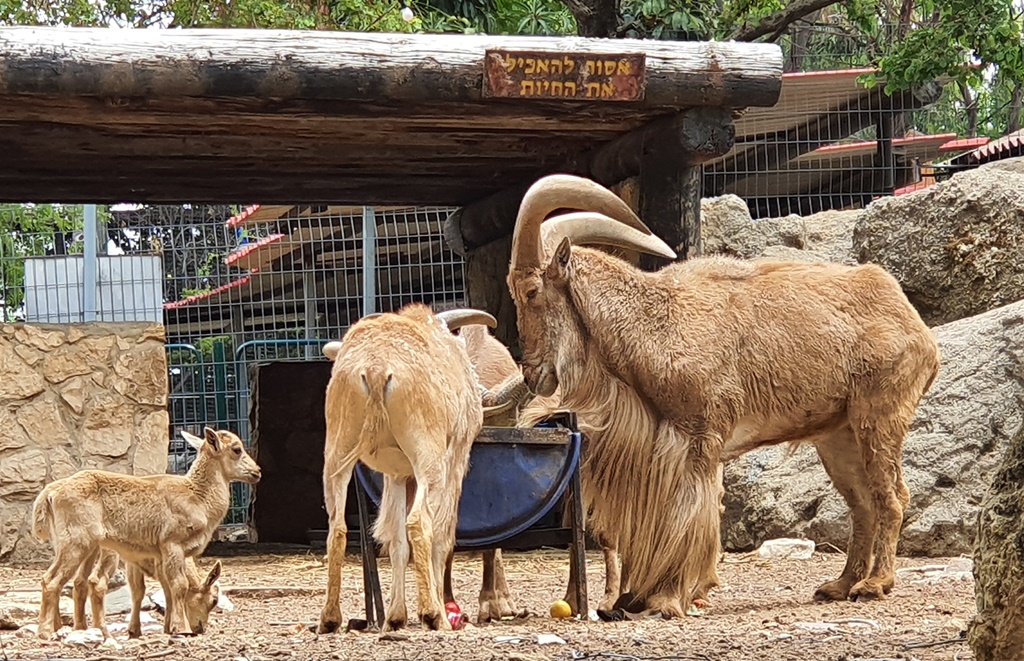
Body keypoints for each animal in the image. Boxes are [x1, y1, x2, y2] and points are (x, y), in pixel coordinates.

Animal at [32, 429, 260, 642]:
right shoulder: (172, 544)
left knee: (75, 582)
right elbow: (179, 585)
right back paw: (47, 632)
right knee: (54, 580)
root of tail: (51, 495)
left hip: (83, 545)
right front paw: (182, 628)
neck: (197, 498)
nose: (257, 471)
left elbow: (159, 588)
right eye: (237, 449)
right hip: (78, 542)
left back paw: (77, 629)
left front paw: (165, 628)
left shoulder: (153, 556)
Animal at [315, 302, 499, 634]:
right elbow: (440, 535)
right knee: (419, 523)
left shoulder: (396, 475)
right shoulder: (454, 463)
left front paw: (395, 617)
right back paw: (433, 613)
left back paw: (330, 618)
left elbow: (396, 540)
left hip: (336, 453)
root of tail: (376, 368)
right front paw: (431, 612)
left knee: (338, 529)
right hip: (429, 459)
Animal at [501, 173, 937, 618]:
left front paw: (667, 597)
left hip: (879, 415)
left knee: (891, 496)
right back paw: (840, 583)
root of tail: (913, 323)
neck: (654, 323)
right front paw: (630, 598)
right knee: (861, 503)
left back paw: (875, 584)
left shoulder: (701, 440)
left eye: (531, 290)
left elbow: (690, 518)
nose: (533, 374)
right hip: (837, 435)